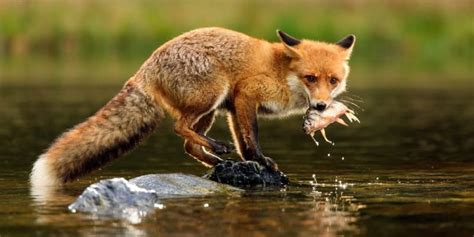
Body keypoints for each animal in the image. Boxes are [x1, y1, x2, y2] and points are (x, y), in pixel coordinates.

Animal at [30, 27, 356, 187]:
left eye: (333, 80)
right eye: (310, 78)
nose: (321, 105)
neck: (282, 72)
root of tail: (145, 67)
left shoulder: (234, 106)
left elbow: (243, 142)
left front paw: (252, 162)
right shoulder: (245, 94)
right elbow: (251, 138)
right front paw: (262, 161)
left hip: (211, 109)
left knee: (189, 144)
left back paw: (218, 160)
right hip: (211, 94)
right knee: (180, 128)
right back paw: (219, 150)